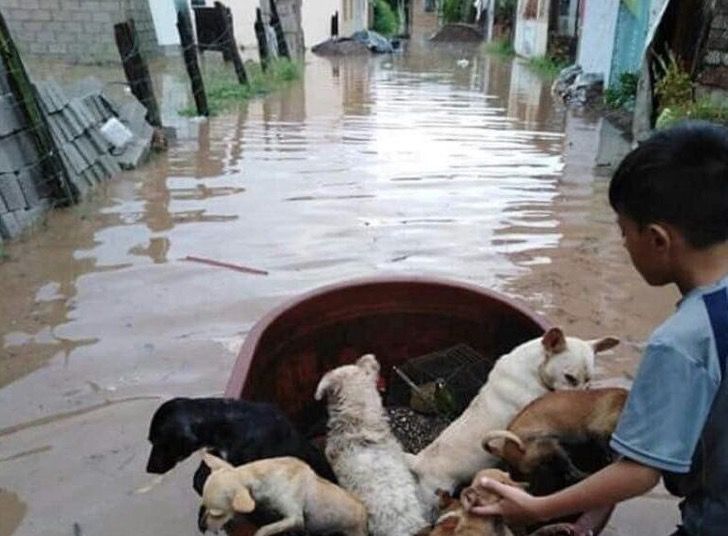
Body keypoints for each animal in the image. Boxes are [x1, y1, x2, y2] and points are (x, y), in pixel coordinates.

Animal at [199, 452, 366, 536]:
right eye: (204, 507)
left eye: (217, 514)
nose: (202, 526)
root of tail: (365, 513)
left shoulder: (295, 518)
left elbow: (263, 530)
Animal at [480, 388, 628, 488]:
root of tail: (504, 451)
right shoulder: (598, 431)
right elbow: (605, 447)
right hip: (552, 446)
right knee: (571, 472)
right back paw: (584, 475)